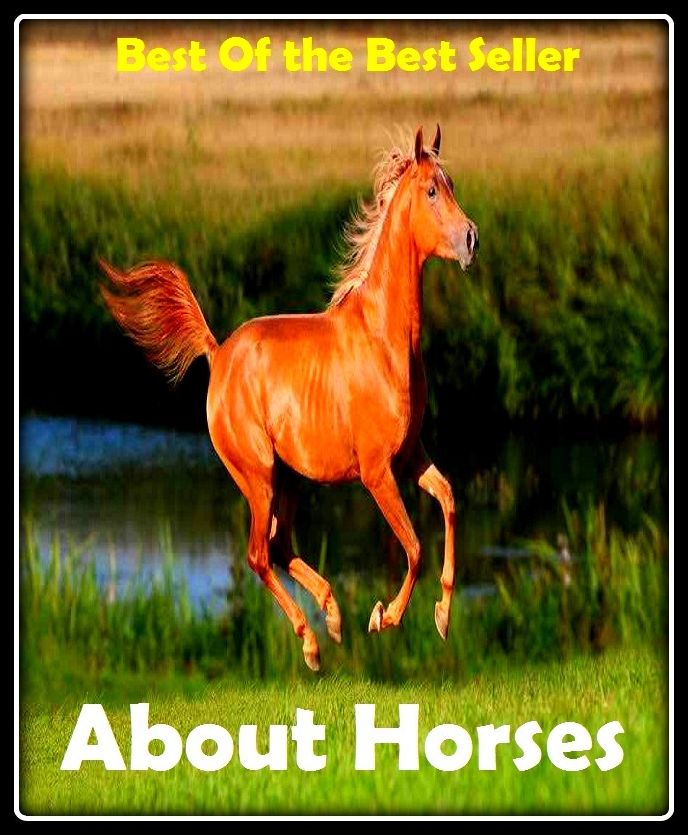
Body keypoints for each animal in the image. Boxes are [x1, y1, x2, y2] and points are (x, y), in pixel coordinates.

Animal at [100, 124, 478, 671]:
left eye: (450, 185)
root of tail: (218, 354)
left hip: (289, 479)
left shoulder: (411, 456)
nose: (471, 239)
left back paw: (333, 618)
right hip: (257, 477)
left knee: (279, 546)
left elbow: (448, 500)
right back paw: (314, 642)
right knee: (259, 554)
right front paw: (383, 617)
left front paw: (443, 617)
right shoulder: (377, 473)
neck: (385, 340)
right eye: (432, 190)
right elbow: (413, 547)